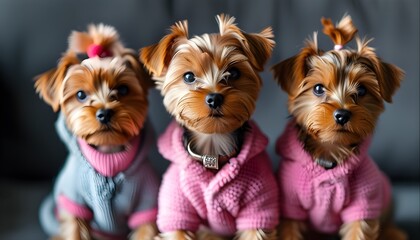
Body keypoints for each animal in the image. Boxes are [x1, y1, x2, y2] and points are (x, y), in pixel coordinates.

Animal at [35, 23, 160, 239]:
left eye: (123, 90)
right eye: (80, 95)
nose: (104, 113)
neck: (108, 155)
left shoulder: (146, 204)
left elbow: (146, 229)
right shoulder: (74, 202)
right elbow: (74, 230)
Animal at [140, 14, 278, 239]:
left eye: (233, 72)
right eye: (188, 76)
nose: (214, 98)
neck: (213, 144)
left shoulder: (258, 207)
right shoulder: (177, 211)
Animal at [272, 15, 406, 240]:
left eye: (362, 90)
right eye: (318, 88)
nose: (342, 114)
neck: (330, 150)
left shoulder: (364, 201)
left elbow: (359, 229)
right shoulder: (290, 203)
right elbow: (289, 229)